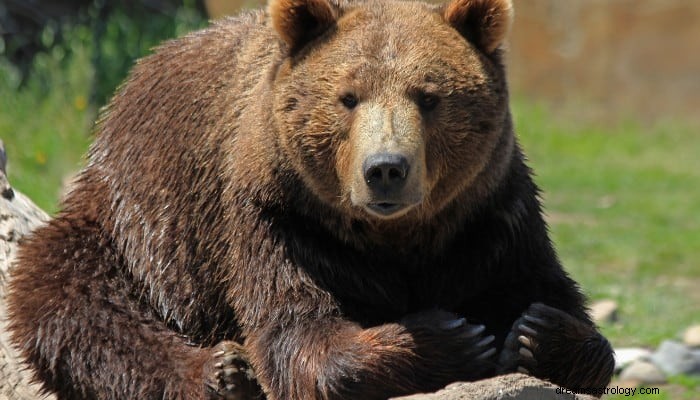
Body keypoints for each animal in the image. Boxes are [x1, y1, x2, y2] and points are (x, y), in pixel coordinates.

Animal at [6, 0, 612, 398]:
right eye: (348, 97)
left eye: (428, 96)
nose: (385, 169)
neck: (397, 237)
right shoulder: (279, 217)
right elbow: (300, 335)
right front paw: (451, 337)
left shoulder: (490, 214)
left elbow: (552, 298)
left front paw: (538, 333)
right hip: (134, 224)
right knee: (72, 299)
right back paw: (222, 371)